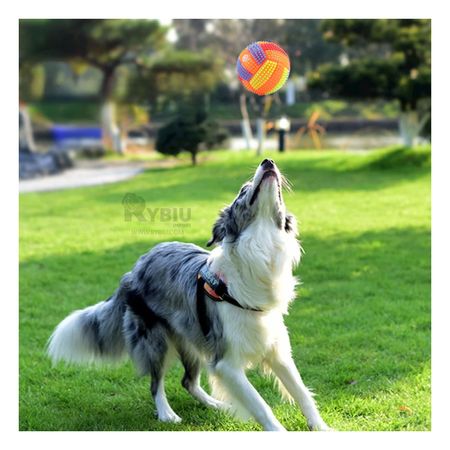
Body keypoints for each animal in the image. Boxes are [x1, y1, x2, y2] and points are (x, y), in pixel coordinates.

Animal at [48, 157, 330, 428]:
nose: (268, 161)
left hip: (191, 340)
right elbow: (262, 406)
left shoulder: (276, 350)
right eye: (243, 190)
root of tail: (135, 267)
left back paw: (218, 405)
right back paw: (167, 414)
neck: (261, 246)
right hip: (156, 341)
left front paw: (322, 428)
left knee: (188, 382)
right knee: (156, 383)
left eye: (279, 194)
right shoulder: (226, 362)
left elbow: (302, 392)